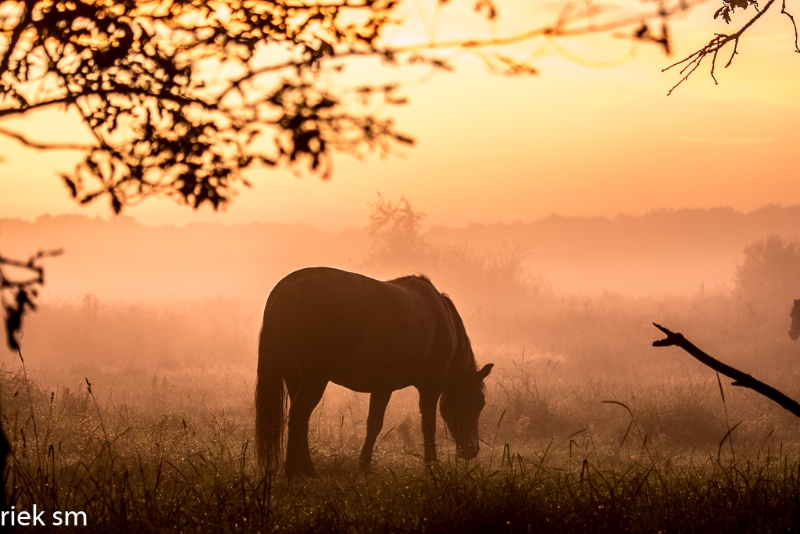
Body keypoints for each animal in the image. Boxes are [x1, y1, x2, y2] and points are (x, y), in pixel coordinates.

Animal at [256, 266, 494, 478]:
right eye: (479, 402)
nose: (472, 450)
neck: (439, 316)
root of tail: (283, 291)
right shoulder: (430, 386)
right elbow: (428, 425)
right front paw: (432, 464)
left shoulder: (382, 387)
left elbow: (374, 425)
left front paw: (364, 465)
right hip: (315, 379)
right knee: (299, 416)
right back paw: (303, 470)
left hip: (294, 376)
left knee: (299, 420)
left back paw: (300, 468)